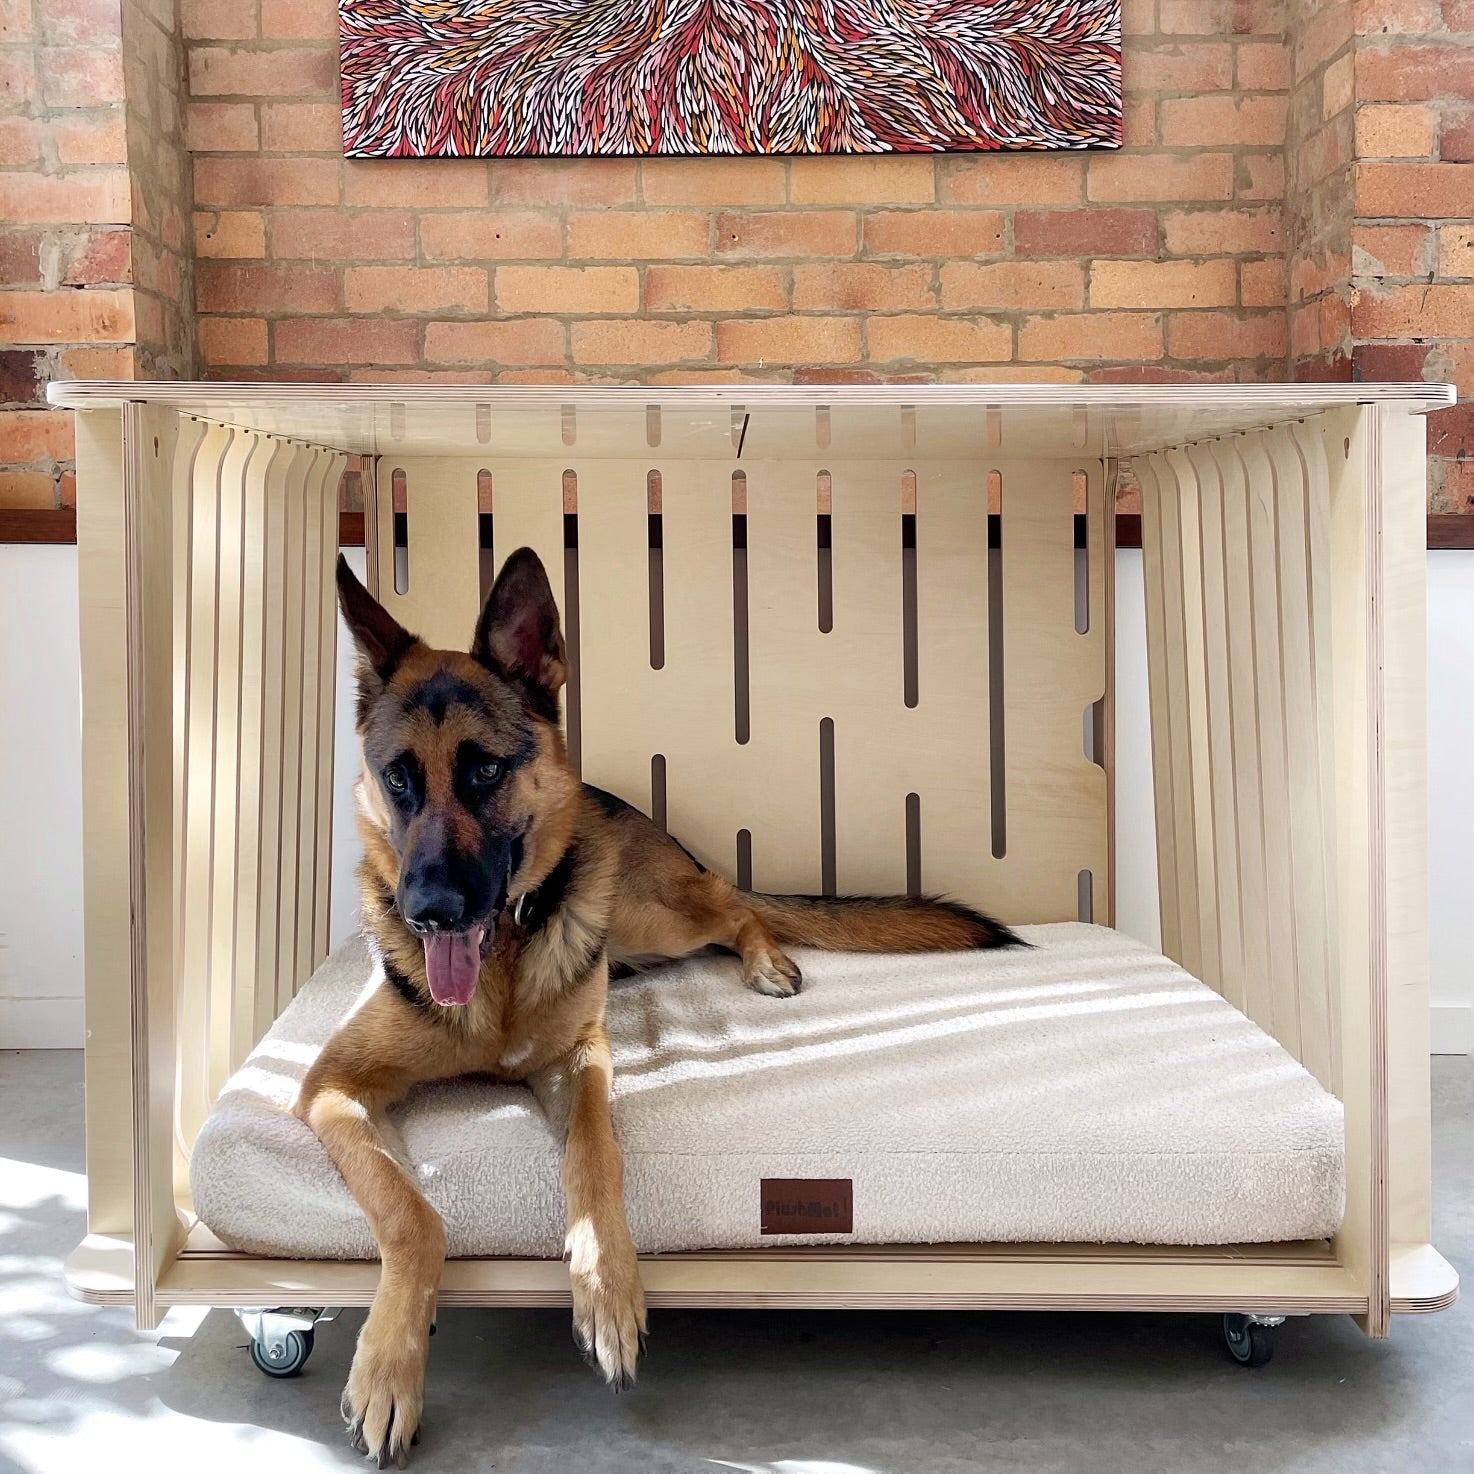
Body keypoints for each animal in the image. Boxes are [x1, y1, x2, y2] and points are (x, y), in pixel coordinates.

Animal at [299, 551, 1014, 1462]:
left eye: (484, 771)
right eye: (398, 778)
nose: (429, 913)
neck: (498, 978)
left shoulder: (582, 1061)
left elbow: (594, 1155)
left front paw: (605, 1286)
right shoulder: (329, 1086)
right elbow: (409, 1211)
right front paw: (390, 1366)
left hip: (654, 911)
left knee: (734, 903)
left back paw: (768, 959)